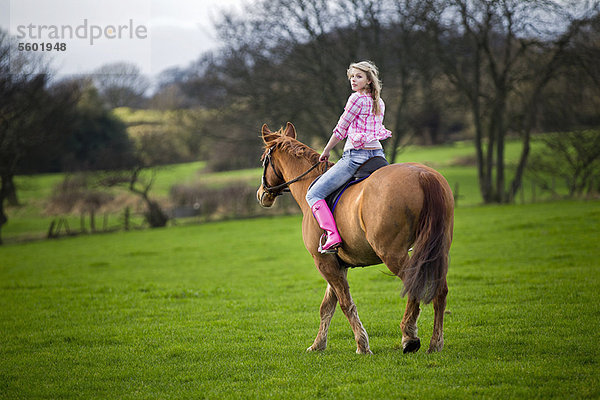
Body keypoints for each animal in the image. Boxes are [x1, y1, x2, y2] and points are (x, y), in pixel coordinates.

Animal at [255, 122, 452, 354]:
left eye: (263, 159)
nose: (261, 194)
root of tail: (422, 175)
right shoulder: (337, 263)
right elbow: (327, 306)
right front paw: (318, 344)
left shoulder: (323, 261)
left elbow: (344, 303)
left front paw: (362, 345)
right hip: (438, 250)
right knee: (440, 290)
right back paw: (435, 343)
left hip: (392, 254)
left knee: (414, 285)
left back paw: (409, 336)